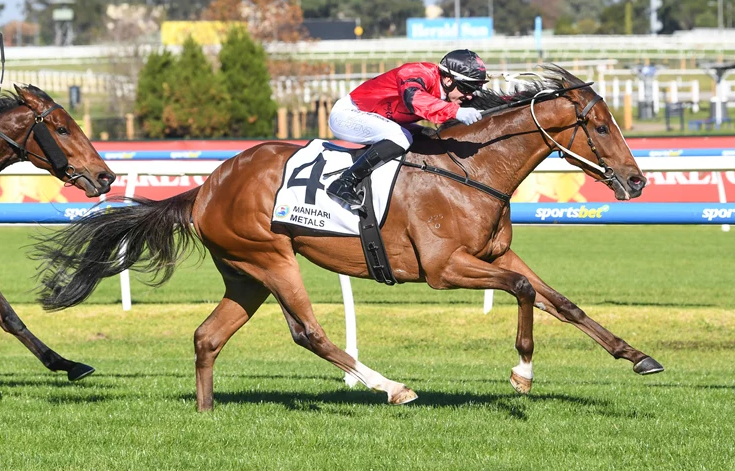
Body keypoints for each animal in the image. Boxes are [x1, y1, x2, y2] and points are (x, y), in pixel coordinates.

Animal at [33, 66, 663, 410]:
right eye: (600, 125)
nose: (636, 181)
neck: (471, 169)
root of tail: (207, 186)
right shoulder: (444, 268)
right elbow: (525, 292)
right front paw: (522, 375)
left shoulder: (496, 253)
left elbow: (561, 301)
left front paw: (639, 357)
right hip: (271, 258)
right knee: (308, 331)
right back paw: (392, 387)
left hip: (244, 274)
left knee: (207, 337)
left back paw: (206, 414)